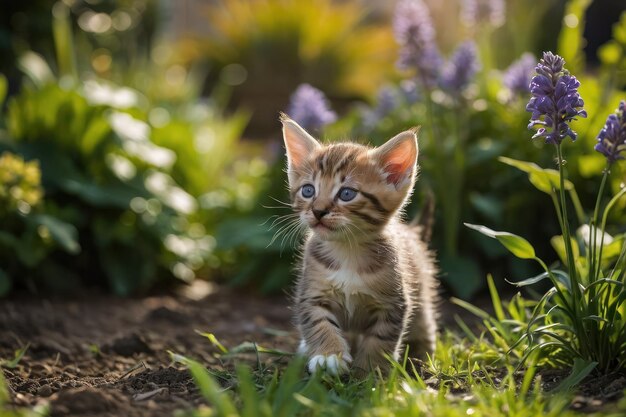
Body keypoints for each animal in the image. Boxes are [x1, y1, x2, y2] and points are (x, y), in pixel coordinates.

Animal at [280, 113, 436, 374]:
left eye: (346, 194)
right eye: (308, 190)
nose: (318, 211)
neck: (347, 250)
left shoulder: (393, 302)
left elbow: (382, 337)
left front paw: (372, 369)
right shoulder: (312, 292)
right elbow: (318, 322)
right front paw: (328, 355)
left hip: (421, 294)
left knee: (425, 322)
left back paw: (423, 356)